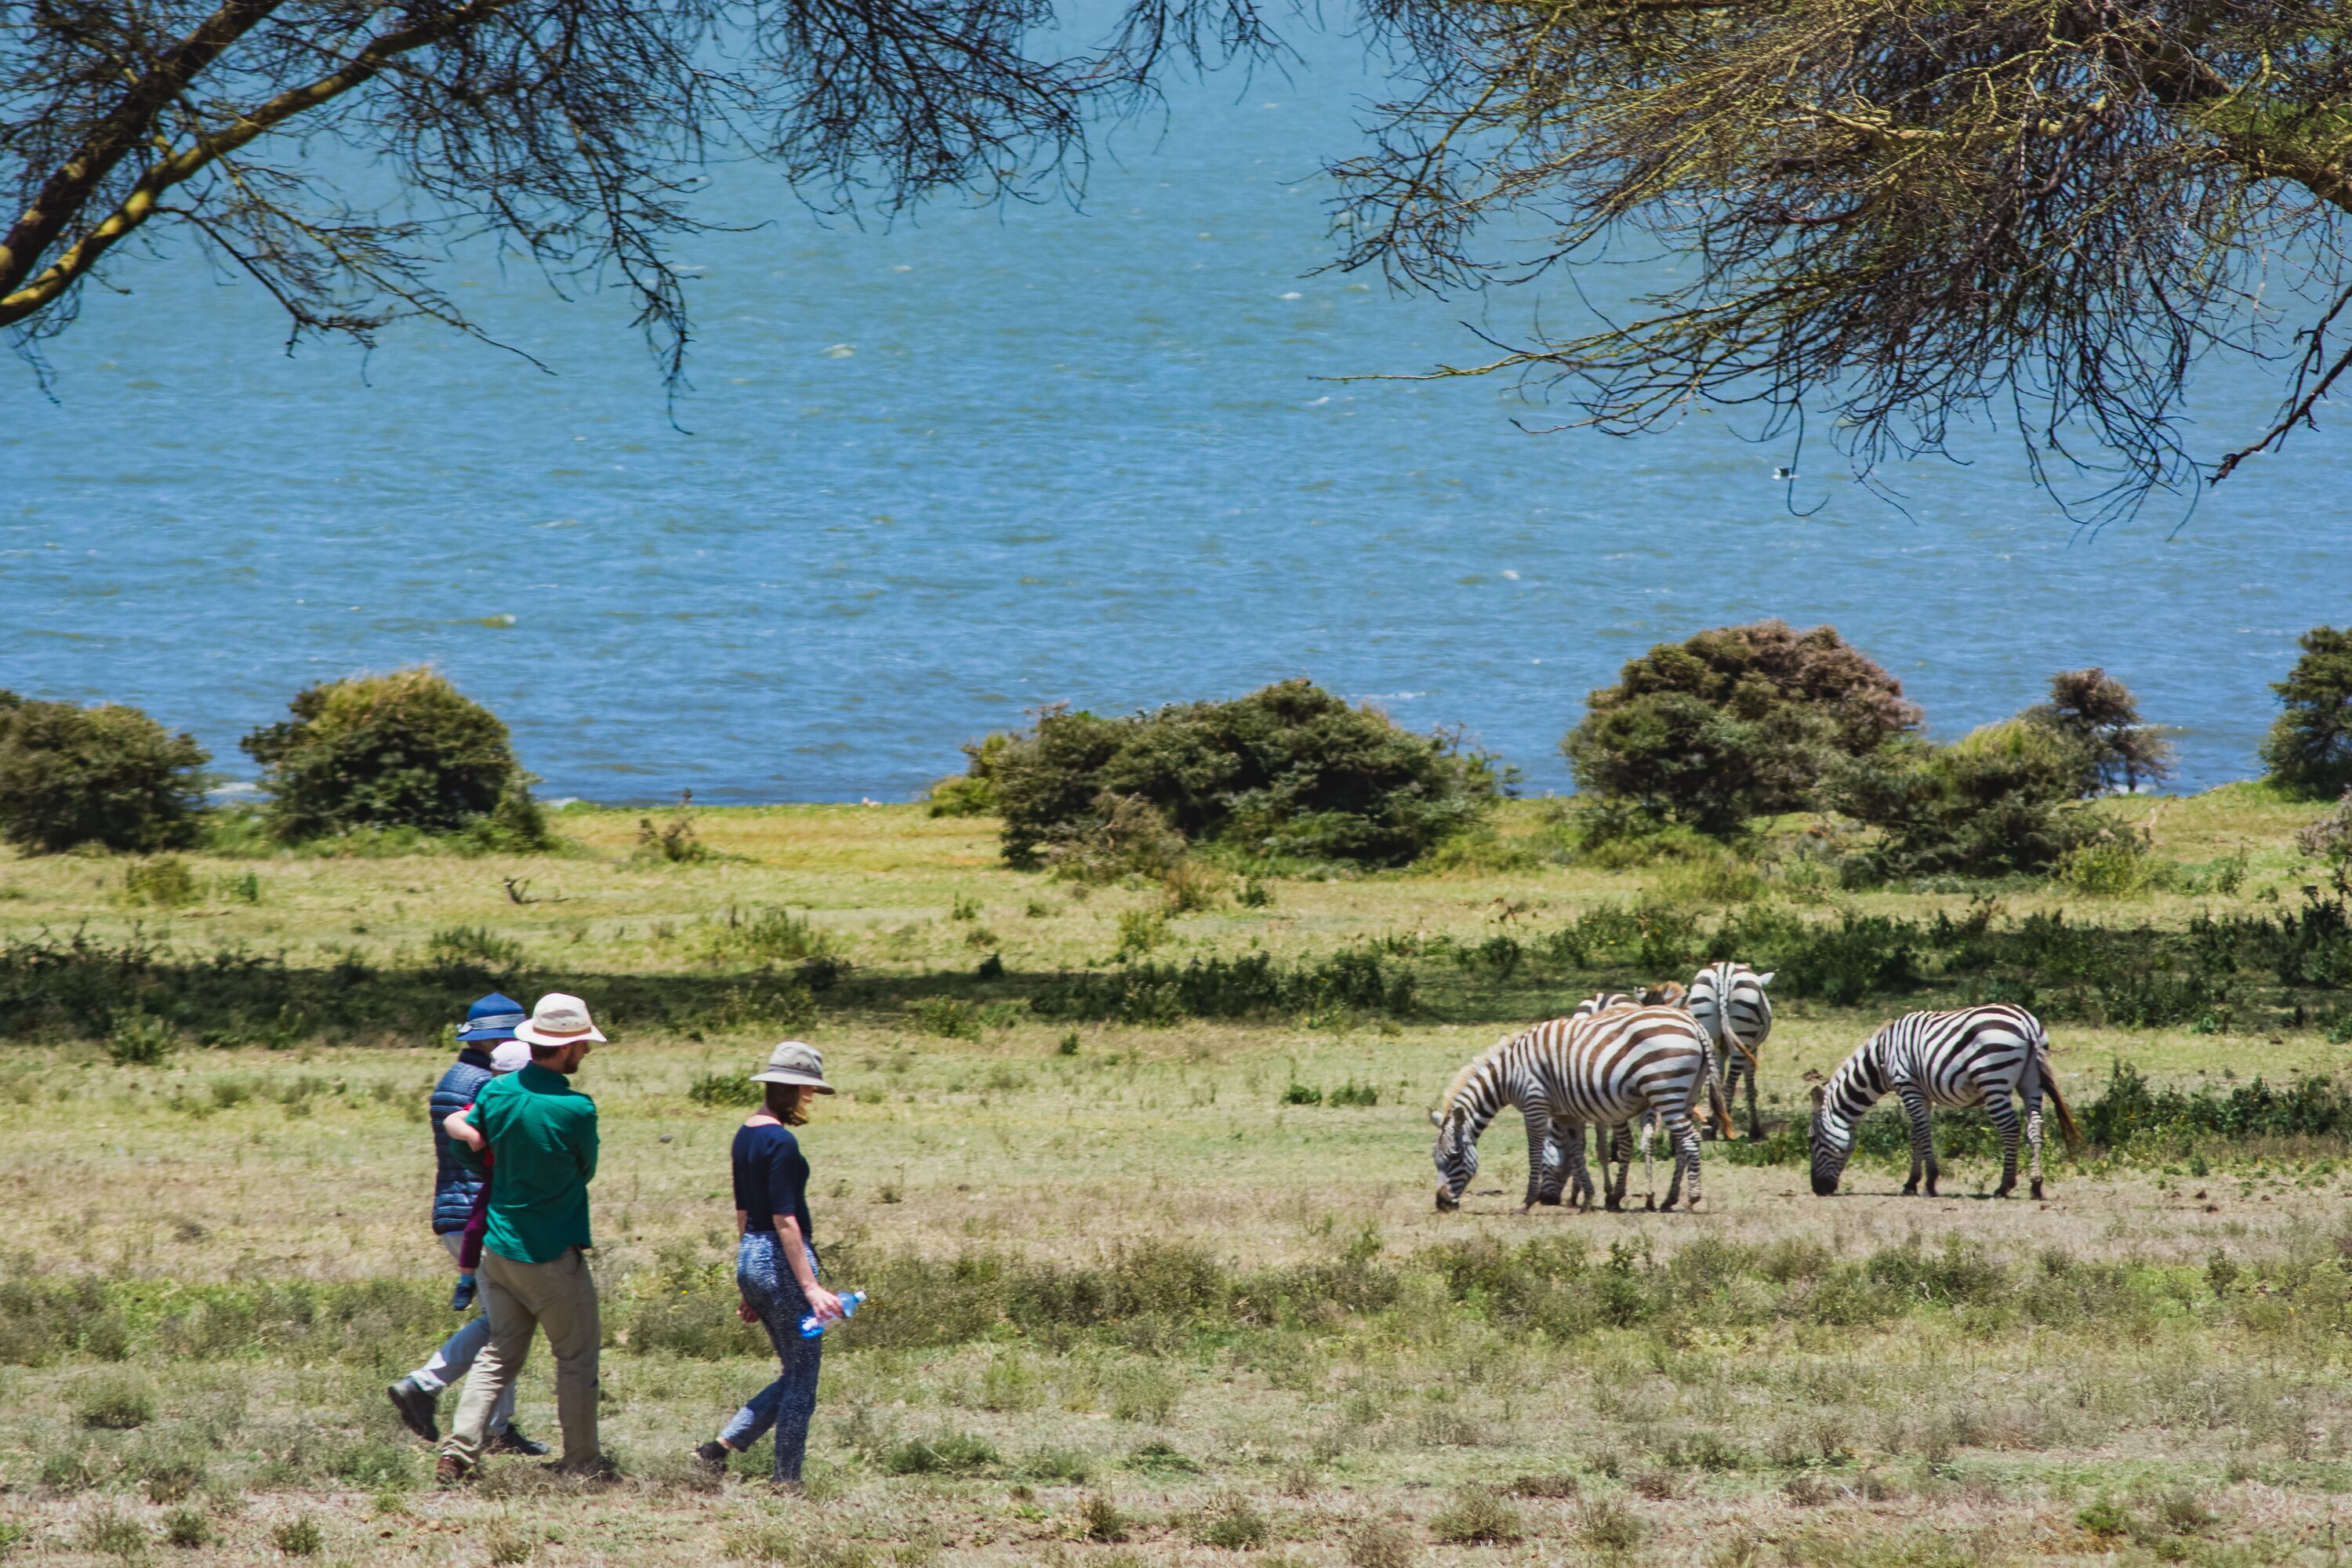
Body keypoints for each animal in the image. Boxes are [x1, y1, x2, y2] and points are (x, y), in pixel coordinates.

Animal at [1432, 1005, 1717, 1213]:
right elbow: (1576, 1151)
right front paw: (1588, 1198)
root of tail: (1694, 1023)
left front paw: (1527, 1201)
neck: (1509, 1074)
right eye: (1436, 1159)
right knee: (1682, 1145)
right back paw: (1669, 1199)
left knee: (1691, 1140)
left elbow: (1535, 1152)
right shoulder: (1564, 1112)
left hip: (1665, 1092)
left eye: (1455, 1157)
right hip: (1687, 1095)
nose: (1442, 1203)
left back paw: (1691, 1199)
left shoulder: (1535, 1105)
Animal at [1687, 963, 1775, 1140]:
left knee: (1713, 1080)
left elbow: (1717, 1079)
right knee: (1731, 1082)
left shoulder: (1720, 1050)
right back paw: (1725, 1127)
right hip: (1742, 1038)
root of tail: (1724, 970)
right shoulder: (1752, 1051)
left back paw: (1709, 1126)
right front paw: (1755, 1129)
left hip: (1707, 1026)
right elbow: (1750, 1087)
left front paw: (1711, 1120)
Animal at [1808, 1003, 2083, 1199]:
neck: (1882, 1060)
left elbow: (1922, 1132)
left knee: (2010, 1129)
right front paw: (1911, 1183)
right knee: (2035, 1126)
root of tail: (2026, 1022)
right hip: (2031, 1082)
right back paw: (2036, 1185)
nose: (1818, 1189)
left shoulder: (1908, 1085)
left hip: (1992, 1080)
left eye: (1811, 1139)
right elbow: (1915, 1136)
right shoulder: (1922, 1092)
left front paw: (1930, 1182)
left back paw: (2004, 1185)